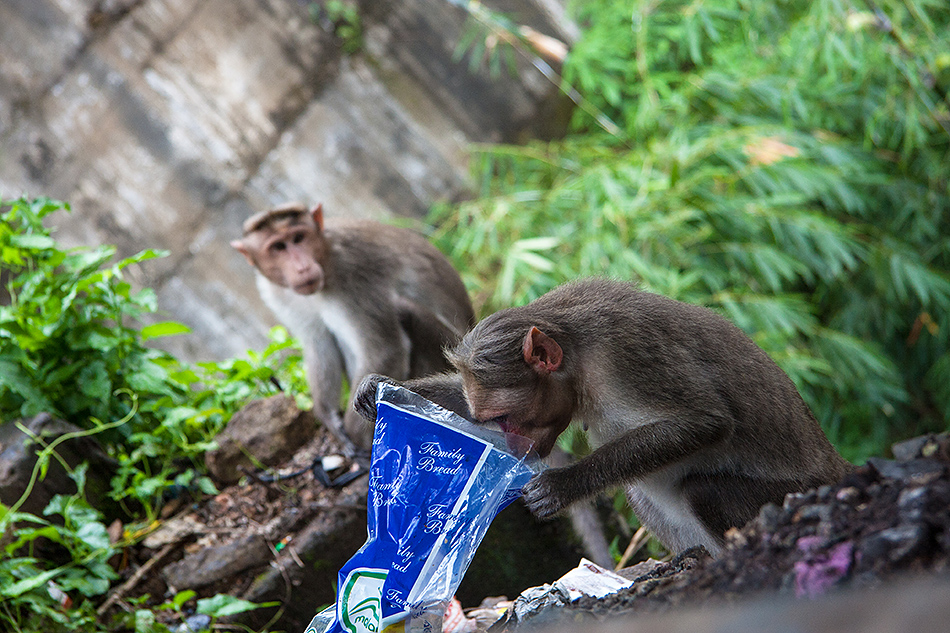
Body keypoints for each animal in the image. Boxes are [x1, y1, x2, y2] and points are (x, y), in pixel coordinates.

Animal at [233, 202, 476, 454]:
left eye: (298, 238)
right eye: (278, 247)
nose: (302, 267)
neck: (325, 257)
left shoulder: (353, 272)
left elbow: (385, 349)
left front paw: (360, 438)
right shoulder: (278, 293)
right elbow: (318, 344)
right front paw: (329, 419)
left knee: (401, 309)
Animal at [352, 276, 856, 552]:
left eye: (510, 417)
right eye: (495, 420)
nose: (512, 443)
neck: (578, 353)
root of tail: (838, 468)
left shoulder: (625, 352)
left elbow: (704, 421)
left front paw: (561, 485)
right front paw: (378, 389)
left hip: (795, 492)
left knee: (701, 488)